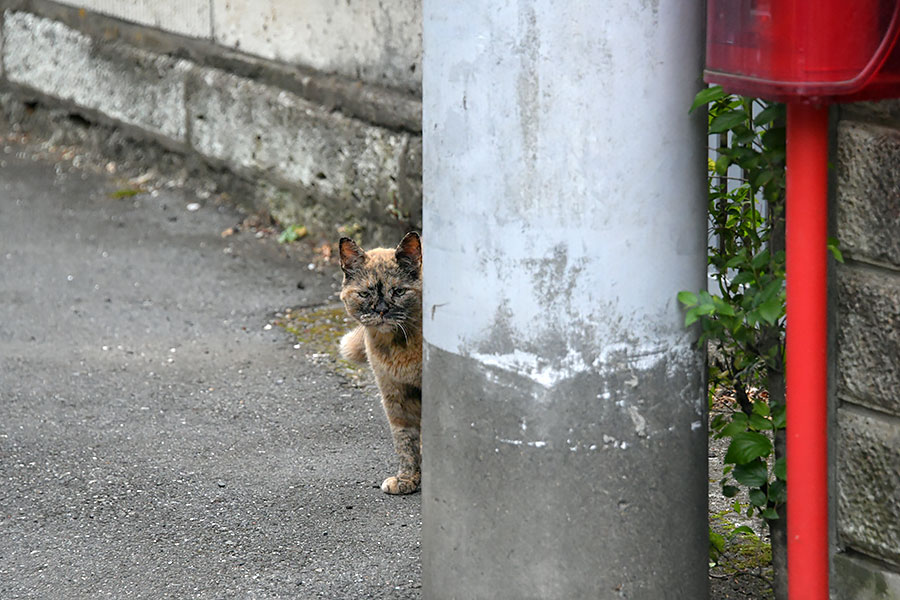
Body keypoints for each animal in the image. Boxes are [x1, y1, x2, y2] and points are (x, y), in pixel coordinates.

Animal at [340, 232, 424, 494]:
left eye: (398, 291)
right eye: (365, 293)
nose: (382, 310)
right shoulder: (395, 396)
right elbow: (405, 441)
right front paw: (407, 479)